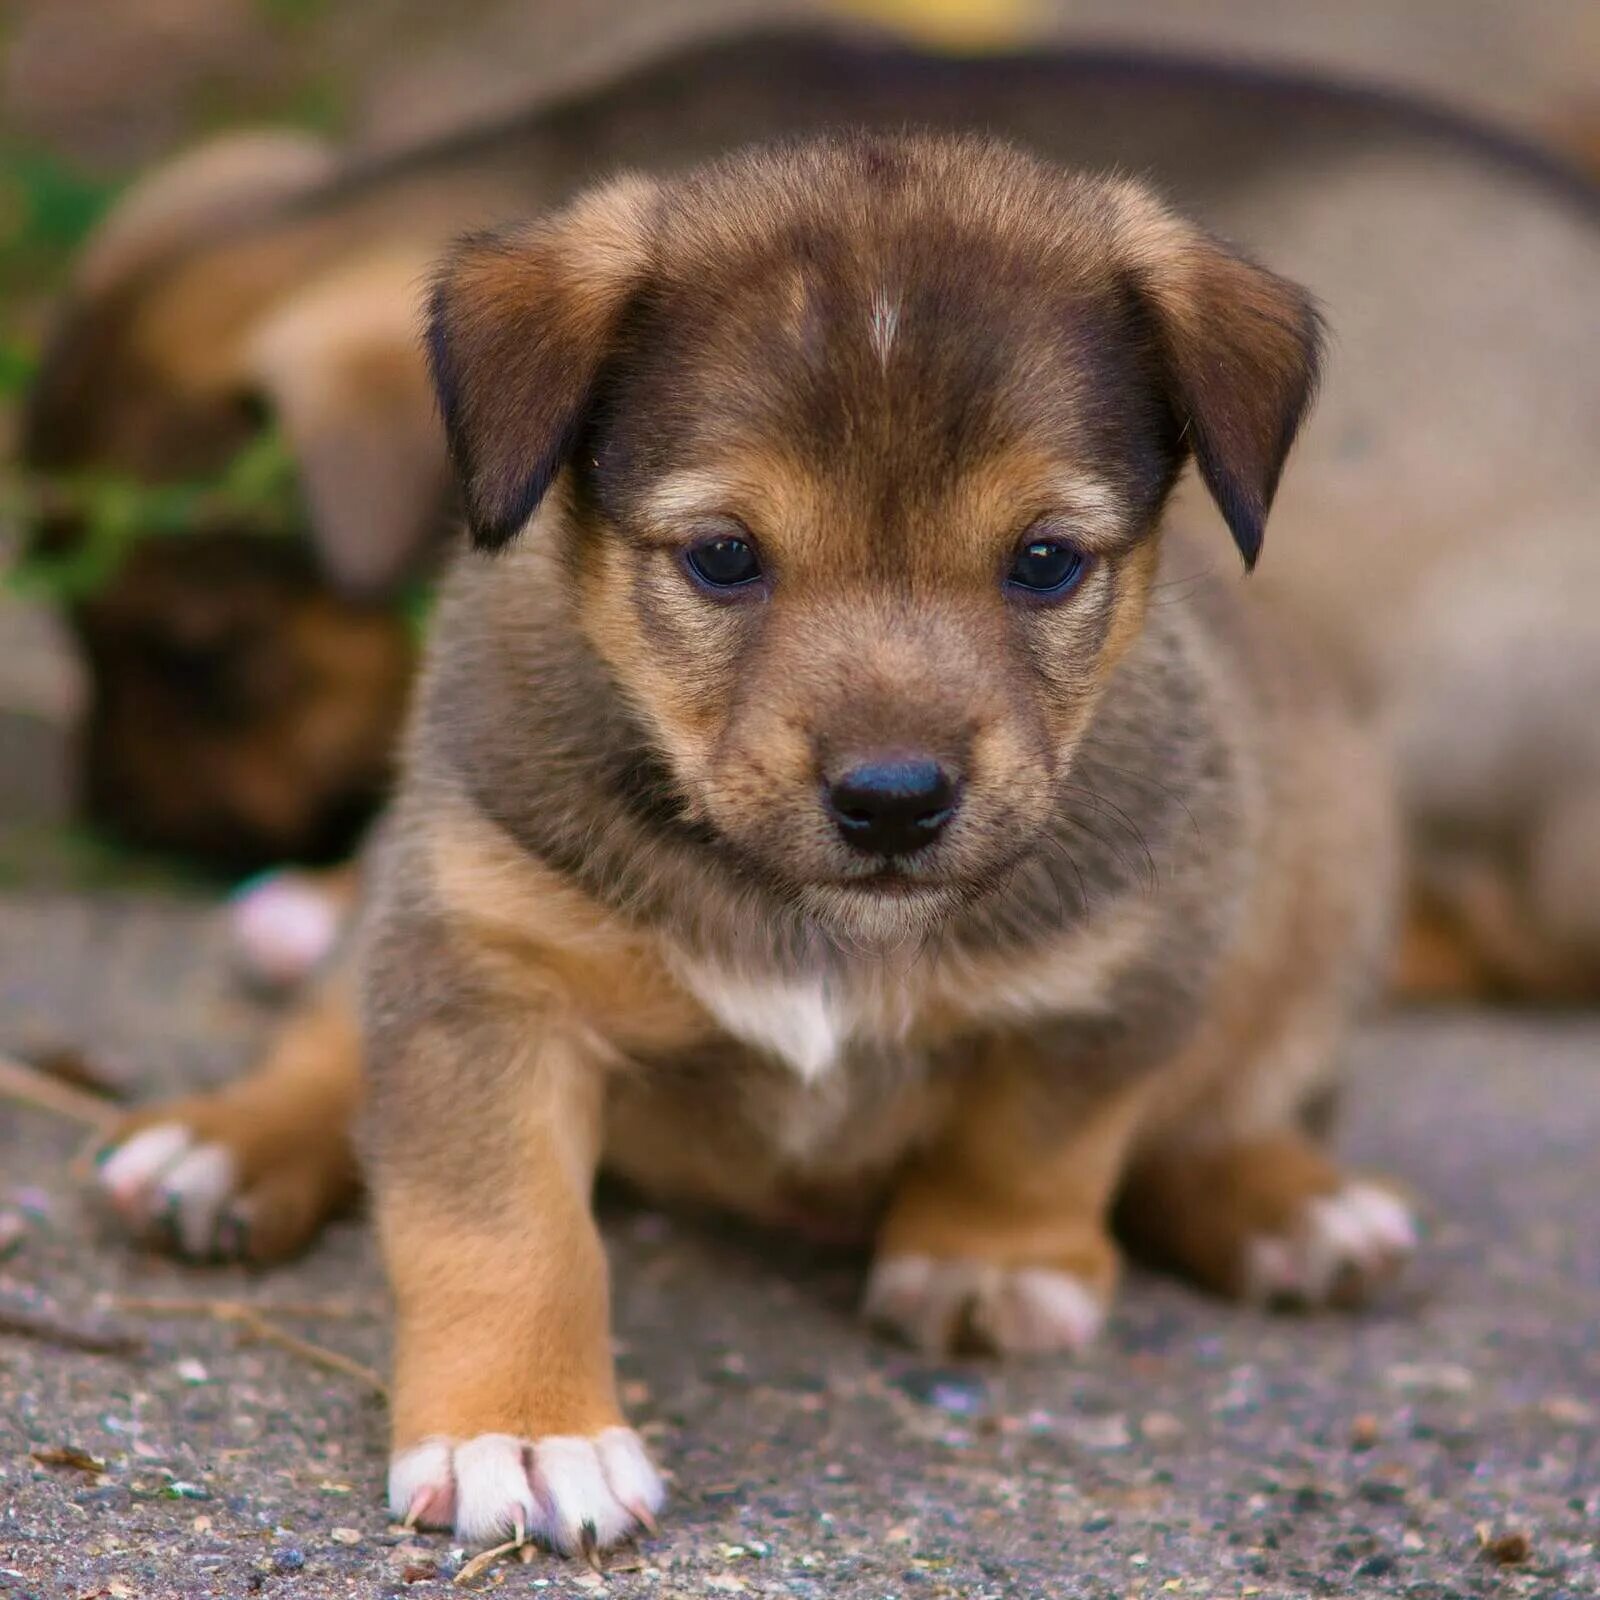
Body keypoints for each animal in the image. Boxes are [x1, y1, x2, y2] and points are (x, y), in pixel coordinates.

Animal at [96, 131, 1414, 1555]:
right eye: (724, 556)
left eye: (1046, 560)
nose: (893, 801)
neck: (815, 921)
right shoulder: (484, 965)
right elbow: (502, 1225)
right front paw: (526, 1429)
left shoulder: (1131, 962)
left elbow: (1042, 1126)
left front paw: (988, 1258)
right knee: (328, 1041)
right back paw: (222, 1145)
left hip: (1329, 877)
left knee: (1226, 1096)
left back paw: (1290, 1205)